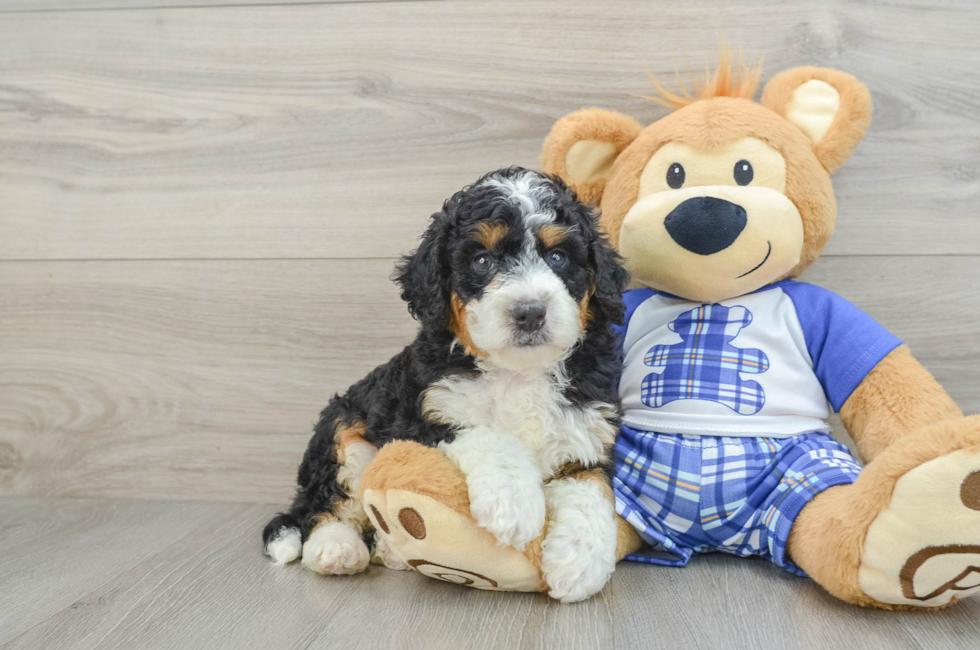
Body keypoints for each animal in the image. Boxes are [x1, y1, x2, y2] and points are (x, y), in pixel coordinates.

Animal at [260, 166, 628, 596]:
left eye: (558, 257)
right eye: (483, 260)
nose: (530, 312)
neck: (519, 371)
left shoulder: (586, 432)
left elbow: (591, 489)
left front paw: (579, 564)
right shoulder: (426, 412)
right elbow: (488, 435)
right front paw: (515, 504)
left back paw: (388, 550)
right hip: (342, 428)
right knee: (324, 503)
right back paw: (336, 548)